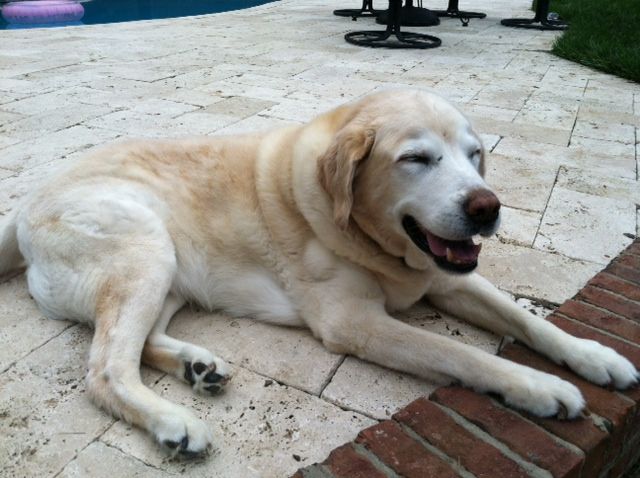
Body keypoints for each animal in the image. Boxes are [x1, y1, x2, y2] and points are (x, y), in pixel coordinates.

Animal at [2, 88, 636, 458]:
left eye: (474, 154)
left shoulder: (446, 276)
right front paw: (541, 387)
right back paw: (173, 422)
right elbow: (463, 353)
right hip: (146, 251)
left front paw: (593, 357)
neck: (373, 239)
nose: (488, 207)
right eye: (416, 158)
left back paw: (196, 367)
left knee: (138, 343)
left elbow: (528, 320)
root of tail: (24, 204)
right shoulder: (355, 322)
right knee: (107, 367)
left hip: (171, 269)